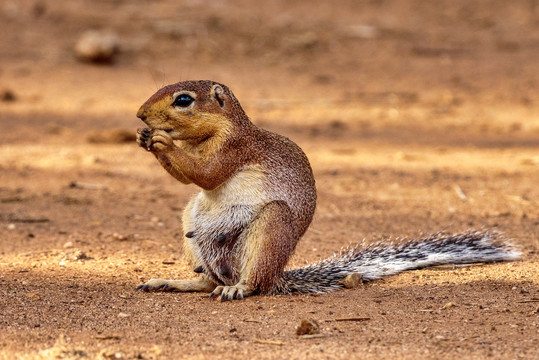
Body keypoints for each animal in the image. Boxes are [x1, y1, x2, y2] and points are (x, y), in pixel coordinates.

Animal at [133, 80, 520, 300]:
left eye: (184, 100)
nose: (139, 115)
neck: (206, 136)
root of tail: (279, 277)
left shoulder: (235, 148)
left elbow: (207, 174)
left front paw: (162, 141)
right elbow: (191, 178)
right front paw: (144, 137)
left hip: (272, 227)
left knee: (253, 283)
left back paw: (237, 288)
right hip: (192, 224)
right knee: (206, 281)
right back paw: (172, 283)